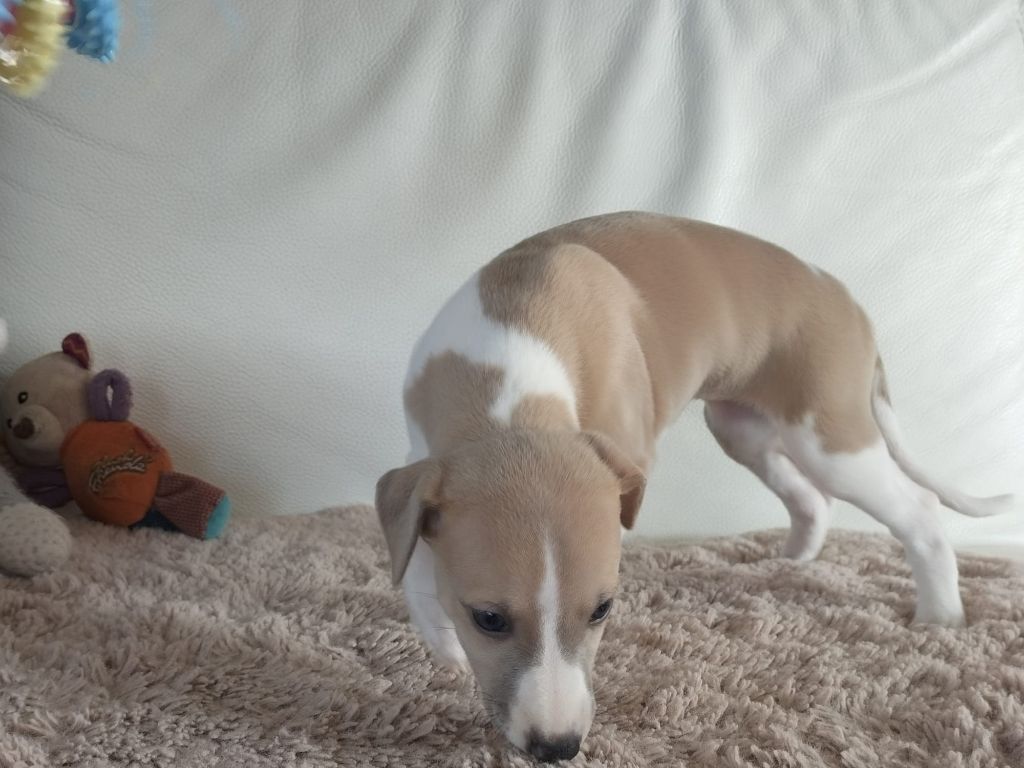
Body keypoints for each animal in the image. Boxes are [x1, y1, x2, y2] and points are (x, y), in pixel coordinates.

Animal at [375, 212, 1015, 762]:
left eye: (603, 609)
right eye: (488, 618)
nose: (558, 747)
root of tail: (851, 304)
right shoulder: (420, 467)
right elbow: (417, 560)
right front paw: (444, 645)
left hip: (829, 438)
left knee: (917, 508)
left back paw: (940, 614)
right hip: (743, 428)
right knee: (812, 500)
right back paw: (789, 565)